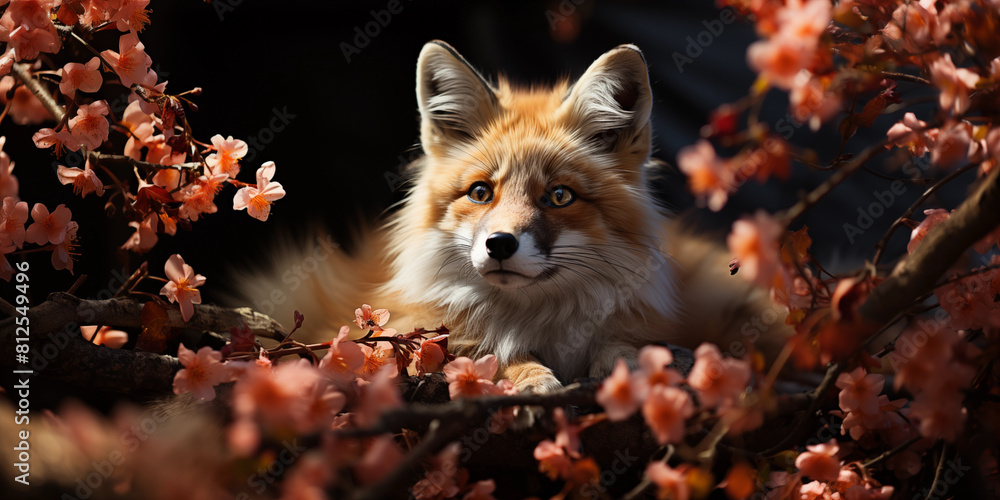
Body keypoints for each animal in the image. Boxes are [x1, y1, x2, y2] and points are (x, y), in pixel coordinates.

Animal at [241, 40, 788, 394]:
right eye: (481, 192)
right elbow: (482, 354)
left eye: (560, 196)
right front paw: (527, 375)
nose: (500, 244)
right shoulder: (395, 328)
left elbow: (621, 344)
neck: (539, 321)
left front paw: (637, 362)